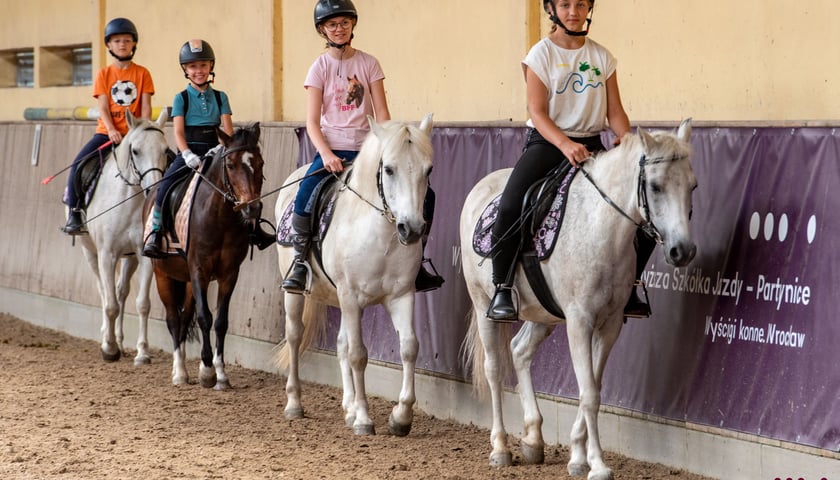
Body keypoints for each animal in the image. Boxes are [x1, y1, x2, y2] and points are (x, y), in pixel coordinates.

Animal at [76, 109, 172, 364]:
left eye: (165, 151)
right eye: (135, 151)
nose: (153, 188)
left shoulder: (145, 255)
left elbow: (142, 304)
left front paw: (143, 352)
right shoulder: (107, 254)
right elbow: (109, 305)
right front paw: (108, 349)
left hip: (129, 257)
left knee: (120, 292)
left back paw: (120, 341)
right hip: (90, 253)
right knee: (104, 292)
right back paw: (108, 339)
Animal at [274, 115, 434, 436]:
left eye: (428, 170)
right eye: (389, 169)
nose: (411, 229)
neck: (379, 233)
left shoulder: (401, 295)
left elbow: (409, 347)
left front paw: (400, 417)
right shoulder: (350, 297)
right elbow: (359, 355)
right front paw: (363, 419)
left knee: (341, 345)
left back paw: (347, 407)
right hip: (298, 295)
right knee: (295, 336)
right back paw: (295, 403)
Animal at [460, 118, 696, 478]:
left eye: (692, 186)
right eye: (655, 187)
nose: (682, 251)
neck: (601, 229)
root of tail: (480, 187)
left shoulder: (609, 325)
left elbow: (593, 387)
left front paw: (578, 456)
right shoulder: (579, 322)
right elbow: (588, 395)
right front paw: (597, 464)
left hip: (543, 314)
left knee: (520, 351)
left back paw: (533, 440)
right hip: (482, 302)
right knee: (494, 368)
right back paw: (500, 448)